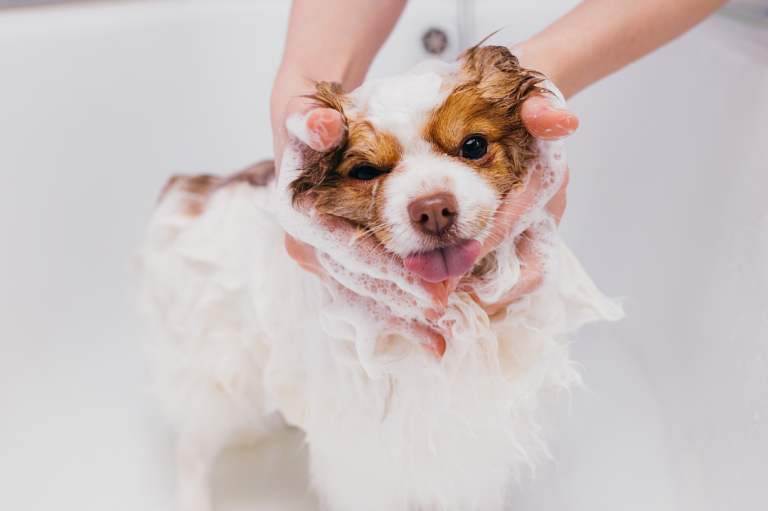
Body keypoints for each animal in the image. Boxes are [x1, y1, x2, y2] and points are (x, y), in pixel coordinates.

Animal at [134, 45, 624, 511]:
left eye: (473, 146)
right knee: (192, 454)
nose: (433, 208)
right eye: (366, 172)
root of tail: (189, 189)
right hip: (215, 378)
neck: (460, 313)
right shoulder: (368, 460)